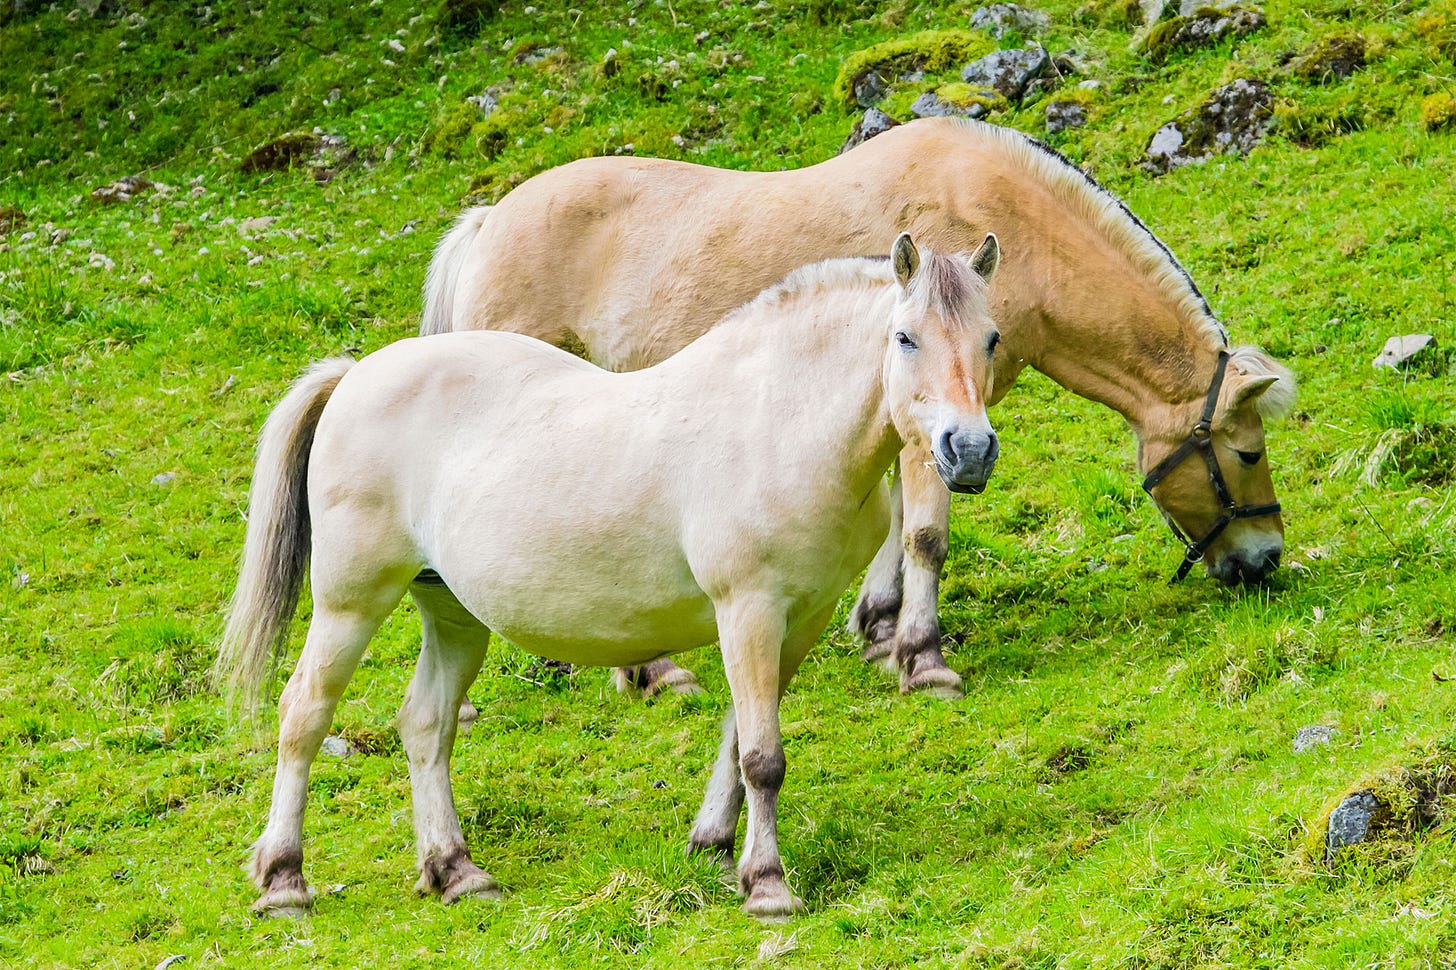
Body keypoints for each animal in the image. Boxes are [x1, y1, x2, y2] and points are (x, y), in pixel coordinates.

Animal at [218, 234, 1004, 919]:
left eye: (991, 338)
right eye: (905, 338)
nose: (967, 450)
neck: (778, 420)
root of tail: (356, 373)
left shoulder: (797, 621)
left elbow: (738, 739)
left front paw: (714, 845)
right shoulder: (748, 611)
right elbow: (762, 756)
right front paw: (767, 885)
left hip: (455, 615)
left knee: (425, 724)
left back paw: (456, 870)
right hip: (349, 605)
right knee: (303, 714)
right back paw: (284, 880)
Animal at [422, 117, 1296, 702]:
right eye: (1248, 453)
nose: (1264, 562)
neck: (1007, 228)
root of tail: (485, 225)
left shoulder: (930, 426)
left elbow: (897, 523)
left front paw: (879, 628)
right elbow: (926, 532)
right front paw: (923, 656)